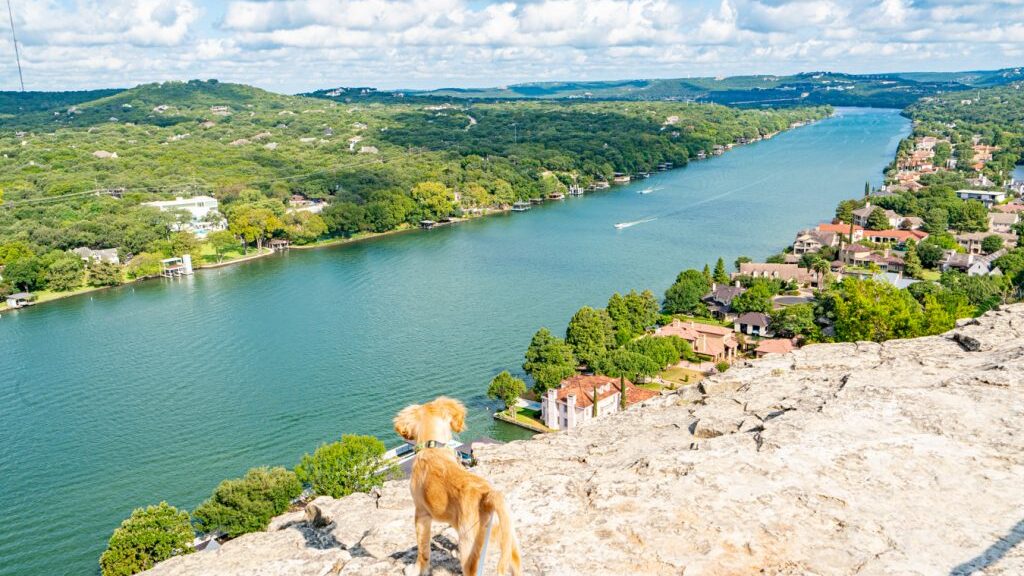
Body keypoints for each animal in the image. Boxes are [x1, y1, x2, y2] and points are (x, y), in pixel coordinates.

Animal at [391, 393, 520, 573]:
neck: (433, 448)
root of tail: (489, 498)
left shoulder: (421, 513)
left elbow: (423, 550)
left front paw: (415, 569)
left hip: (469, 550)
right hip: (509, 544)